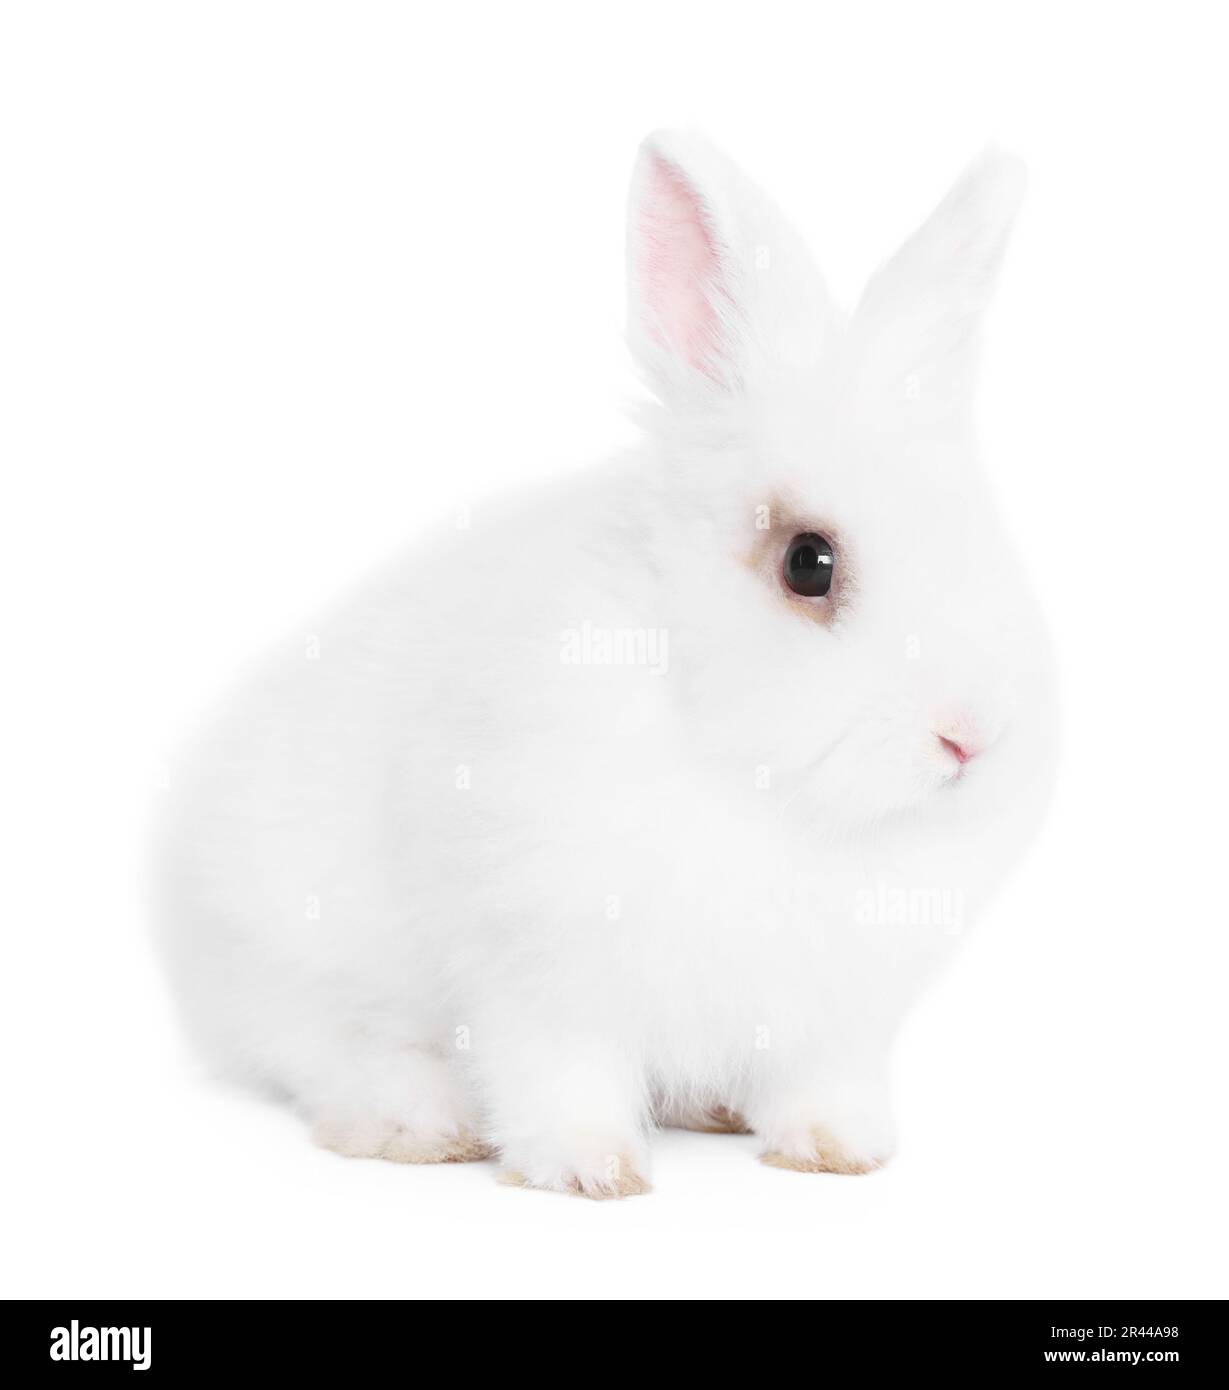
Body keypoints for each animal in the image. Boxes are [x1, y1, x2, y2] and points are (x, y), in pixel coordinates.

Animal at [156, 130, 1056, 1198]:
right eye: (808, 562)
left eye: (988, 534)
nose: (970, 737)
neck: (760, 787)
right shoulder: (541, 970)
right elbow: (558, 1077)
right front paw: (589, 1172)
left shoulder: (830, 1019)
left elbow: (819, 1084)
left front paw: (839, 1151)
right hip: (294, 952)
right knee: (324, 1050)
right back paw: (420, 1122)